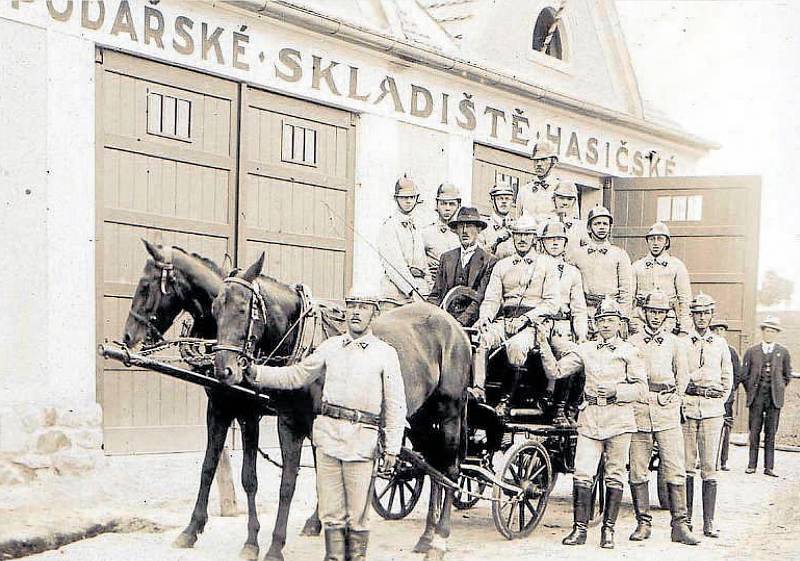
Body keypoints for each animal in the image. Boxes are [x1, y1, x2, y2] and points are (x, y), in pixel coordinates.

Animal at [122, 243, 322, 560]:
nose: (127, 336)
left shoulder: (249, 414)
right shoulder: (217, 408)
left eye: (145, 286)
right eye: (215, 309)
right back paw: (316, 521)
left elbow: (249, 479)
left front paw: (252, 541)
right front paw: (191, 529)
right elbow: (208, 467)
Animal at [214, 255, 476, 560]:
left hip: (450, 413)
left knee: (450, 470)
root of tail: (455, 327)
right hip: (419, 418)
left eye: (243, 309)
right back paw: (426, 536)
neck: (305, 339)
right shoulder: (289, 423)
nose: (225, 369)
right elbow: (290, 484)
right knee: (432, 465)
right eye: (215, 309)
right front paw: (276, 545)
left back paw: (440, 538)